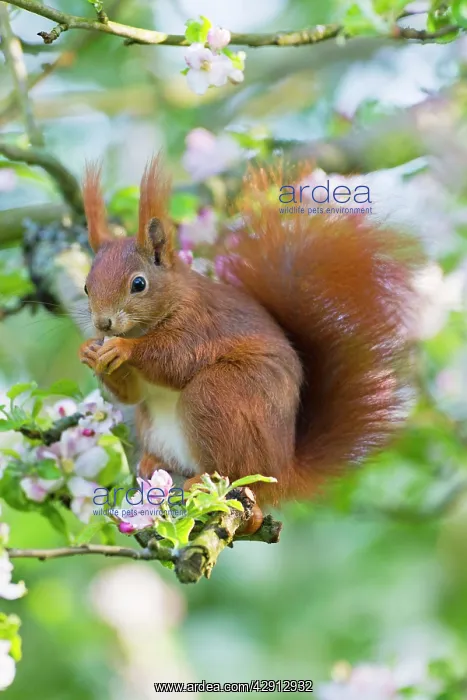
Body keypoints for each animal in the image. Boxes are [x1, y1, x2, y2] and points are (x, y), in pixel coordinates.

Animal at [79, 156, 421, 505]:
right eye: (86, 287)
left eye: (139, 284)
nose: (103, 324)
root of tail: (282, 471)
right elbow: (133, 393)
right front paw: (90, 351)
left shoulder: (201, 325)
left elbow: (176, 359)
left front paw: (123, 349)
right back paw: (154, 461)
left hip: (222, 394)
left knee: (234, 464)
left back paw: (205, 480)